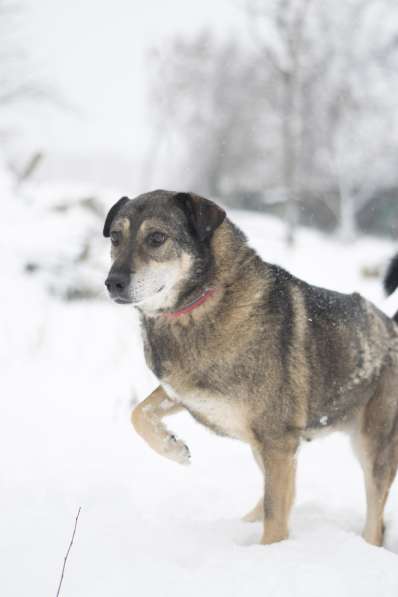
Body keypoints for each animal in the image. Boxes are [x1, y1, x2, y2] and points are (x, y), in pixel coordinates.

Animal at [102, 190, 398, 544]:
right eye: (115, 237)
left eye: (157, 238)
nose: (112, 283)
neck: (204, 300)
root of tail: (392, 325)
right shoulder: (186, 393)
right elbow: (138, 413)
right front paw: (173, 447)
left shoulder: (278, 442)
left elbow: (276, 520)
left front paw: (270, 551)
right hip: (265, 446)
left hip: (373, 446)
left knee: (374, 522)